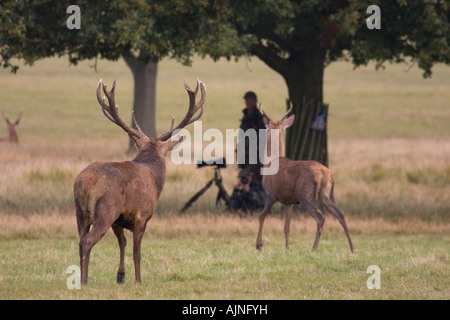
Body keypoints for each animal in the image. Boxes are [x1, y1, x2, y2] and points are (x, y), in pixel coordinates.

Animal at [74, 79, 207, 284]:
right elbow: (137, 251)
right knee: (88, 241)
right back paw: (84, 281)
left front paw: (120, 276)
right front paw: (138, 280)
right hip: (106, 210)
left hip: (80, 212)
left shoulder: (118, 220)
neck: (154, 177)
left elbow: (122, 243)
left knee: (80, 240)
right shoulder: (142, 215)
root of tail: (87, 183)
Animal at [253, 105, 356, 252]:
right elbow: (287, 226)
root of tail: (324, 172)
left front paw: (259, 245)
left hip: (305, 195)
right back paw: (353, 248)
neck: (270, 162)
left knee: (321, 217)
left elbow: (261, 215)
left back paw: (314, 248)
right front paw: (287, 249)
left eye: (266, 128)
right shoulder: (289, 201)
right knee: (340, 214)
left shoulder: (271, 193)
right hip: (326, 194)